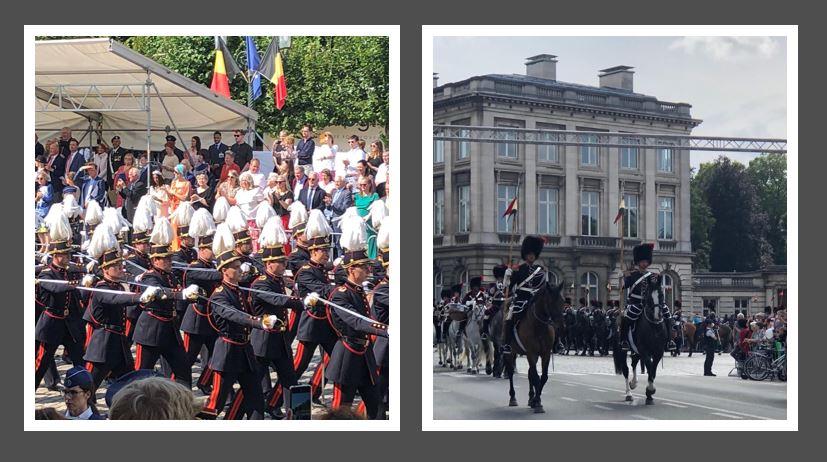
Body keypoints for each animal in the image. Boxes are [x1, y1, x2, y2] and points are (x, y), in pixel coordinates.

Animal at [502, 280, 568, 414]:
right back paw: (513, 398)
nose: (562, 327)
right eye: (550, 302)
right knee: (511, 372)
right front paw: (538, 402)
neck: (539, 327)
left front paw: (536, 400)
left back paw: (530, 398)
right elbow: (536, 377)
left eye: (563, 301)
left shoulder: (545, 354)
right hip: (511, 353)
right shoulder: (531, 353)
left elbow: (543, 377)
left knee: (529, 373)